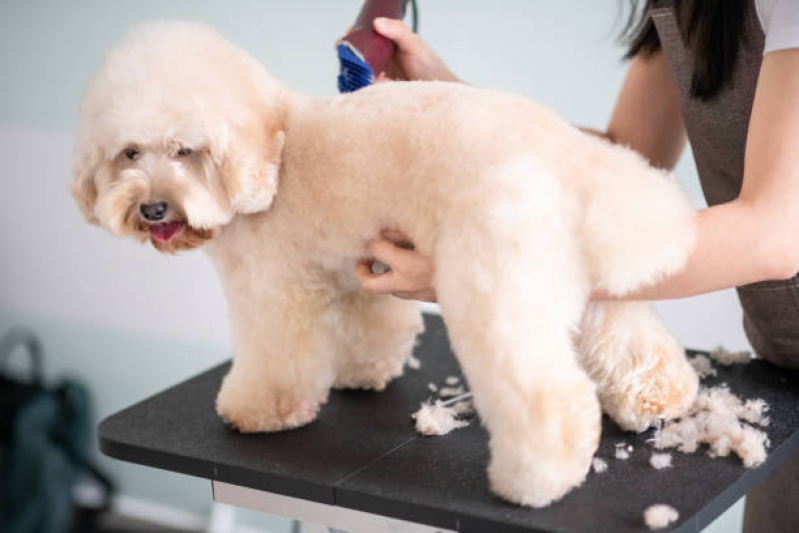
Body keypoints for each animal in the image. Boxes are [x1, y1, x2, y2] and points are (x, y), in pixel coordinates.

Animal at [73, 21, 700, 508]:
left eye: (187, 150)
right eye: (129, 153)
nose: (153, 208)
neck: (275, 149)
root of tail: (562, 152)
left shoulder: (272, 289)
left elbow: (277, 362)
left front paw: (258, 410)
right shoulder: (353, 266)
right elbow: (371, 328)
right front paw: (365, 373)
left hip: (494, 289)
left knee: (552, 398)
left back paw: (536, 482)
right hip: (568, 277)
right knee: (628, 338)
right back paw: (658, 398)